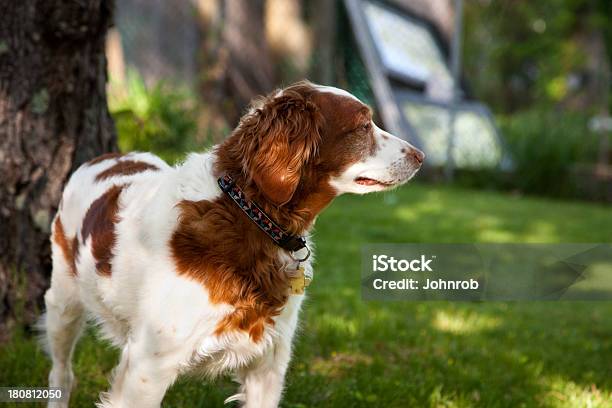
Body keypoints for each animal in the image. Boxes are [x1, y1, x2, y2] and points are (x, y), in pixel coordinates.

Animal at [43, 80, 424, 408]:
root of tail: (104, 158)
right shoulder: (148, 365)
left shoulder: (268, 364)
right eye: (363, 125)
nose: (420, 155)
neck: (248, 215)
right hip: (63, 303)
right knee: (61, 372)